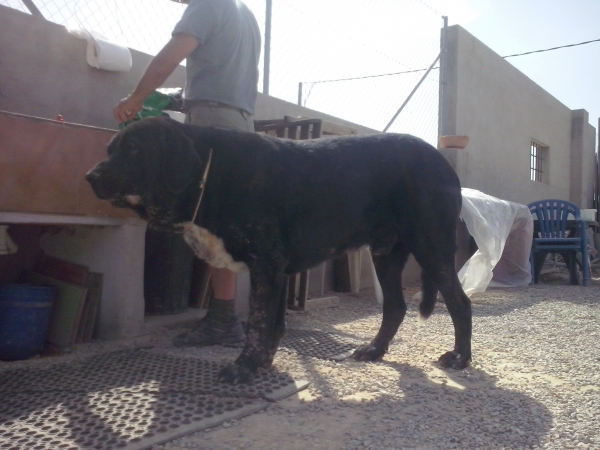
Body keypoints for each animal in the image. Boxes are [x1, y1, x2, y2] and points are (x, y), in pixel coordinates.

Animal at [85, 117, 468, 384]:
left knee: (460, 303)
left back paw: (460, 358)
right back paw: (374, 349)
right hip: (385, 255)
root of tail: (442, 159)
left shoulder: (266, 267)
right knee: (395, 306)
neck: (211, 171)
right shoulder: (277, 270)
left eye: (134, 149)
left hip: (432, 247)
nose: (90, 176)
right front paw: (262, 363)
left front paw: (243, 367)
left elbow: (257, 323)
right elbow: (273, 325)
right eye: (109, 150)